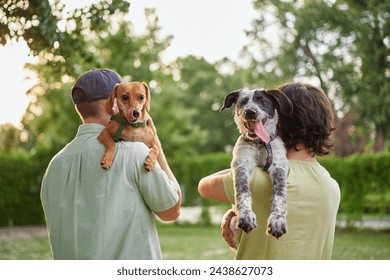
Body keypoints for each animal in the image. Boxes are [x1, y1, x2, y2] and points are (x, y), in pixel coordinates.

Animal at [222, 88, 292, 237]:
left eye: (263, 101)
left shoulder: (279, 166)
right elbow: (242, 192)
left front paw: (277, 221)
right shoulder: (242, 165)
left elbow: (279, 195)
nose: (250, 112)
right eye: (243, 101)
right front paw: (246, 216)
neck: (260, 144)